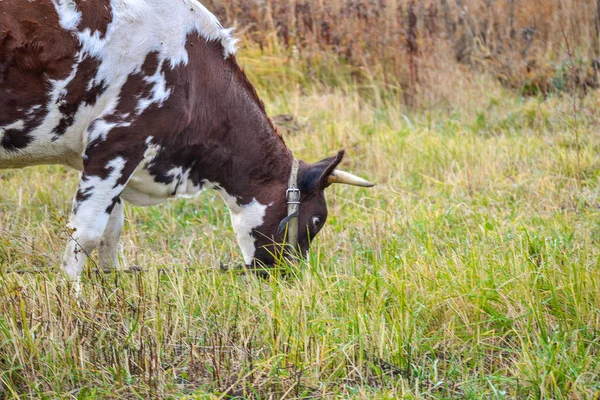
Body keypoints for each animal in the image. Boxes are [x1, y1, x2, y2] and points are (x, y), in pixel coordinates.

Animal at [0, 0, 372, 282]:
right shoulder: (117, 140)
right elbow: (88, 231)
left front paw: (110, 287)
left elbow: (111, 230)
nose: (290, 275)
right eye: (316, 221)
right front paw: (73, 297)